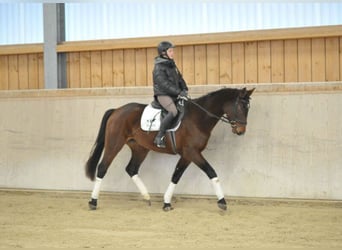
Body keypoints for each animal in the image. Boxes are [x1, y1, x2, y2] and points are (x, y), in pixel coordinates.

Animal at [86, 87, 254, 212]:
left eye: (248, 108)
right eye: (241, 106)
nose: (241, 131)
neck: (198, 118)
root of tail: (117, 110)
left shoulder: (187, 155)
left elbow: (176, 176)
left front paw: (166, 202)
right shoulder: (192, 152)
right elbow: (211, 172)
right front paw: (222, 201)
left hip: (140, 149)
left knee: (131, 169)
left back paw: (147, 197)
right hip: (114, 144)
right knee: (102, 167)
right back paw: (93, 202)